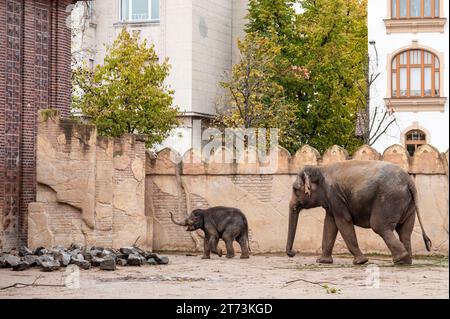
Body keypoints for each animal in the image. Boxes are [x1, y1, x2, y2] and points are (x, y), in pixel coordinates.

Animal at [286, 161, 430, 266]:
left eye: (295, 189)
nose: (293, 252)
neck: (320, 168)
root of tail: (409, 181)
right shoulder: (332, 201)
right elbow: (330, 224)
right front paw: (322, 262)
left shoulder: (335, 196)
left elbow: (343, 222)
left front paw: (360, 262)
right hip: (409, 205)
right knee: (405, 231)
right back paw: (405, 261)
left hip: (390, 199)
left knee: (380, 226)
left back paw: (400, 259)